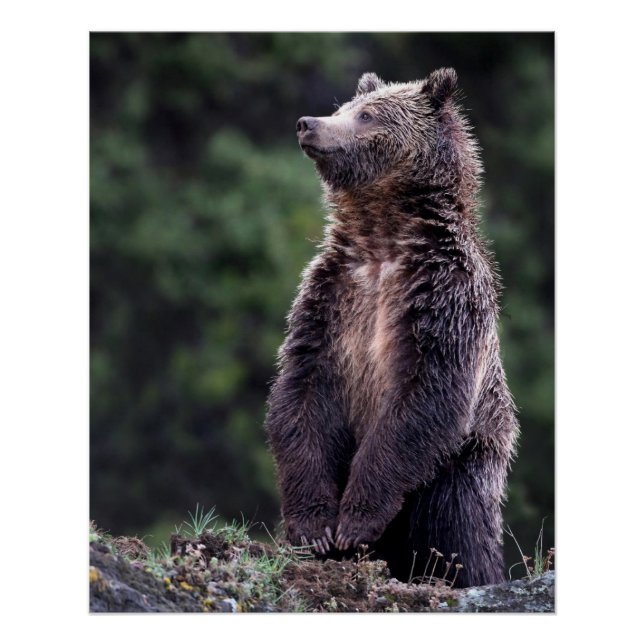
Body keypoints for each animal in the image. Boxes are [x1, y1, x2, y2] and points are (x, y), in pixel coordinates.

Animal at [265, 69, 519, 588]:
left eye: (367, 114)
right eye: (343, 106)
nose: (307, 124)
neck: (382, 238)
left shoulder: (442, 299)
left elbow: (423, 396)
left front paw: (355, 521)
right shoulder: (330, 300)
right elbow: (300, 393)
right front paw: (315, 529)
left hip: (463, 466)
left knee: (458, 530)